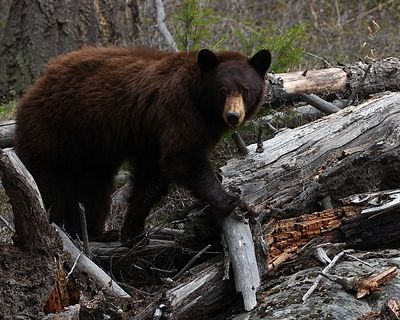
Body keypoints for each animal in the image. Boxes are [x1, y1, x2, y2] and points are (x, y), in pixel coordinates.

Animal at [15, 47, 272, 242]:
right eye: (223, 90)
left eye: (245, 89)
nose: (233, 116)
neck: (199, 100)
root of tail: (35, 86)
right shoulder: (177, 111)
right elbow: (183, 157)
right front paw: (233, 202)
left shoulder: (151, 137)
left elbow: (151, 180)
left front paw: (133, 231)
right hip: (55, 130)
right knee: (48, 181)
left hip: (91, 149)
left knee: (94, 186)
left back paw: (94, 233)